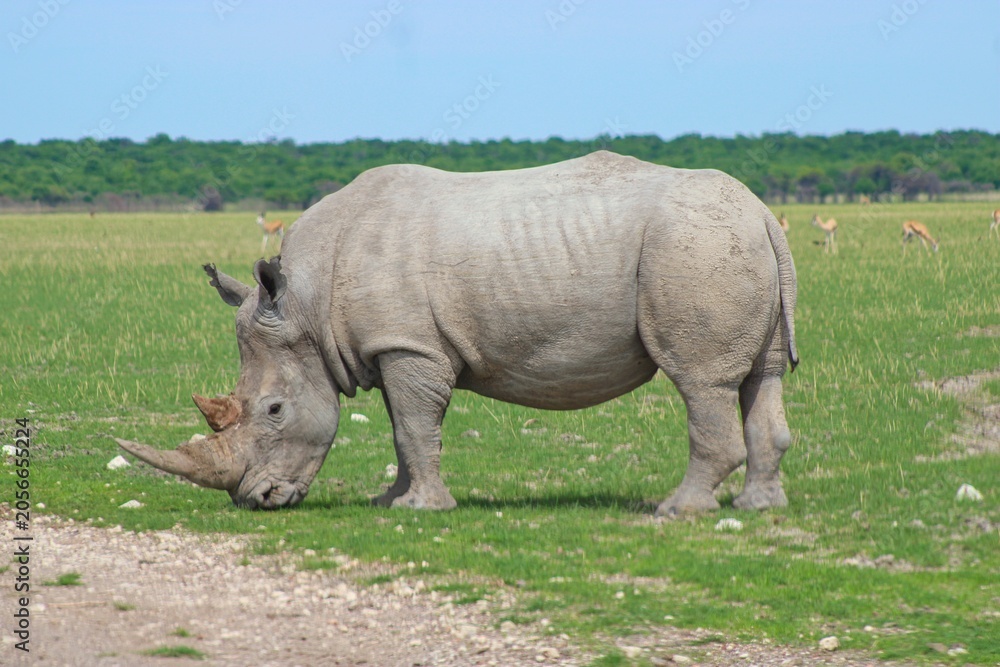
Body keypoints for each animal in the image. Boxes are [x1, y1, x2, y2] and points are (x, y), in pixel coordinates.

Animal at [117, 151, 798, 516]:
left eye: (274, 410)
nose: (254, 501)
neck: (306, 306)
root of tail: (765, 212)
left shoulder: (409, 346)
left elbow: (415, 426)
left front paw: (422, 510)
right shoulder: (392, 344)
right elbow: (401, 428)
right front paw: (390, 503)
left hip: (692, 248)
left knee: (699, 381)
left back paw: (675, 512)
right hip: (726, 245)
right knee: (761, 378)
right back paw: (758, 509)